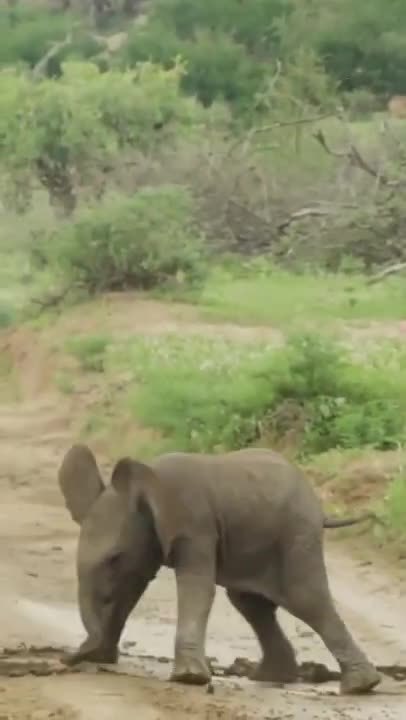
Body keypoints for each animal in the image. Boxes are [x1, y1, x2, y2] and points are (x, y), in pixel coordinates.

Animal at [58, 443, 381, 695]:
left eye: (114, 558)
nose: (65, 661)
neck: (148, 485)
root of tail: (319, 506)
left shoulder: (194, 523)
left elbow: (197, 587)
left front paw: (189, 678)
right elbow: (130, 588)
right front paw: (102, 657)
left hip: (297, 532)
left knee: (304, 598)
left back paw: (360, 686)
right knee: (250, 603)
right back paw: (272, 677)